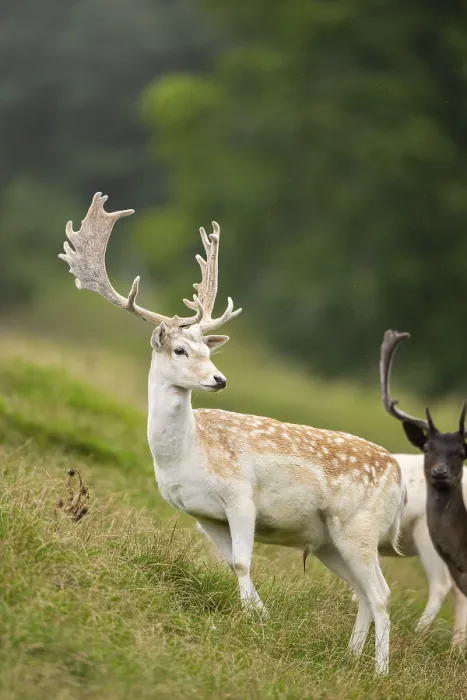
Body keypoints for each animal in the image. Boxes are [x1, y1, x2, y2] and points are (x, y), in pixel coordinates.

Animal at [59, 192, 407, 675]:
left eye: (209, 351)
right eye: (180, 349)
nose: (219, 379)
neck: (188, 455)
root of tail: (399, 476)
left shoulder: (241, 493)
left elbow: (243, 563)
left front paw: (257, 621)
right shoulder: (201, 514)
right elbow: (231, 565)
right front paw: (259, 616)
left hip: (359, 526)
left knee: (382, 594)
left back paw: (379, 673)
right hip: (328, 540)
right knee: (362, 593)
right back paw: (351, 658)